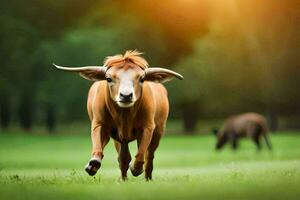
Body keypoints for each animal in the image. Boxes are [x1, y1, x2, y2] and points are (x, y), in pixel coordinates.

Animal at [53, 49, 183, 180]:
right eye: (108, 78)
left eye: (142, 78)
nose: (126, 95)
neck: (124, 116)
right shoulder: (100, 124)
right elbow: (100, 146)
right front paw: (93, 164)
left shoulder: (147, 127)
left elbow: (141, 153)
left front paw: (135, 168)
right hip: (119, 139)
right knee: (123, 158)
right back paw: (122, 178)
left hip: (158, 131)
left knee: (149, 155)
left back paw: (147, 178)